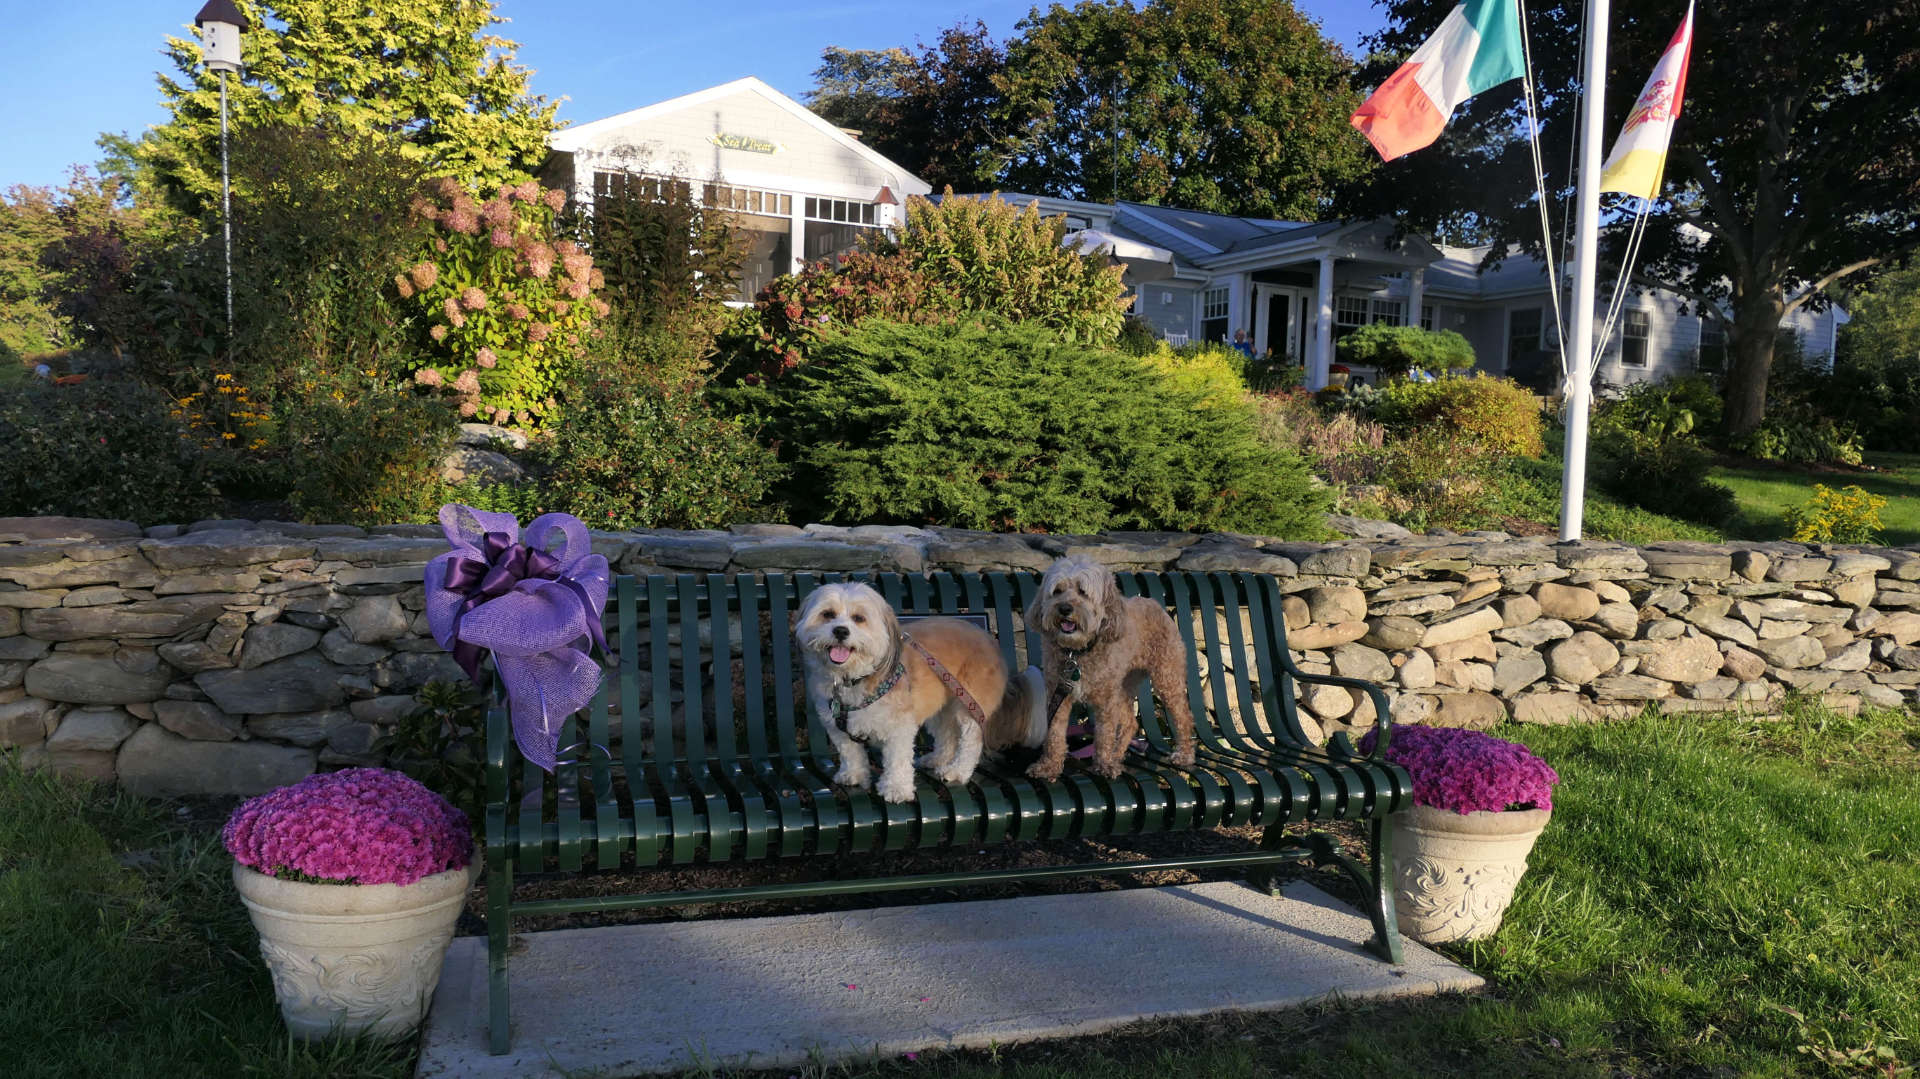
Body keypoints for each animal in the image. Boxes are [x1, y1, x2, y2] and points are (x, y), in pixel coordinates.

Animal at [798, 579, 1052, 798]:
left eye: (859, 618)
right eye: (827, 614)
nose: (841, 631)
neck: (855, 678)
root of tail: (991, 641)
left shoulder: (899, 726)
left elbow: (897, 759)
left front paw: (896, 789)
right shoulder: (837, 726)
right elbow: (850, 752)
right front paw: (853, 775)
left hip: (970, 705)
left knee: (971, 740)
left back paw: (957, 771)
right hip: (942, 703)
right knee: (947, 734)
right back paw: (938, 759)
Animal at [1029, 556, 1190, 775]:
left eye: (1083, 591)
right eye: (1057, 591)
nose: (1064, 608)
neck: (1078, 652)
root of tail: (1154, 602)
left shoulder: (1106, 700)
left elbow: (1105, 733)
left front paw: (1104, 764)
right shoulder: (1057, 693)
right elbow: (1054, 734)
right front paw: (1048, 766)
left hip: (1166, 678)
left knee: (1184, 716)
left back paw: (1184, 755)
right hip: (1123, 687)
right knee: (1130, 723)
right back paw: (1117, 755)